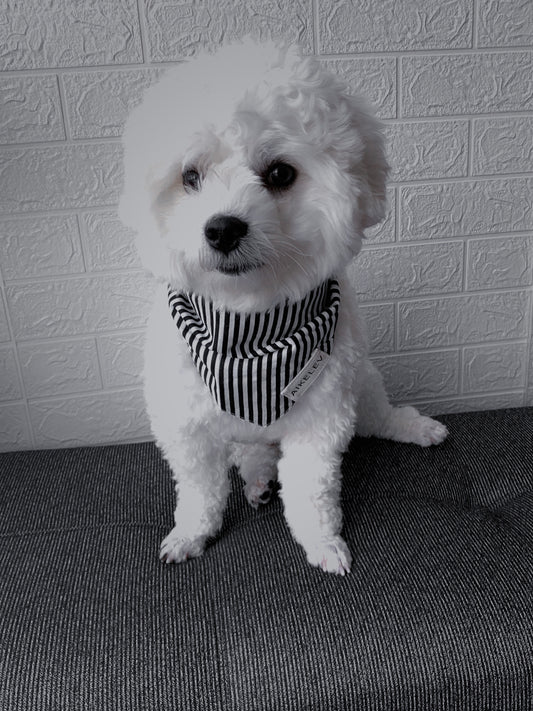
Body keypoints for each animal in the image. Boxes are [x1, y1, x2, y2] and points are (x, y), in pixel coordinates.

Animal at [119, 40, 447, 575]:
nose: (223, 228)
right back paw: (257, 480)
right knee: (252, 455)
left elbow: (310, 490)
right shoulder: (185, 426)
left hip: (362, 385)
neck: (249, 324)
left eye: (278, 173)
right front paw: (192, 533)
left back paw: (415, 427)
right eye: (190, 177)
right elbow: (199, 490)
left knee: (379, 417)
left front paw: (322, 541)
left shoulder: (323, 416)